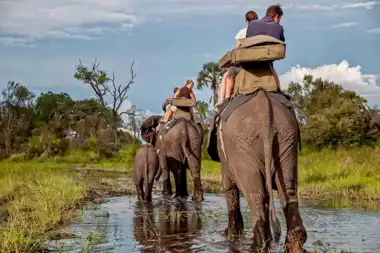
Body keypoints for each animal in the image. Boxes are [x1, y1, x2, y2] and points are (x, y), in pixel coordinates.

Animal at [212, 89, 308, 251]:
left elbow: (229, 186)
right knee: (287, 188)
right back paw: (294, 243)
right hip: (287, 137)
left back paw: (259, 244)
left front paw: (231, 234)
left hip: (241, 143)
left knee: (254, 193)